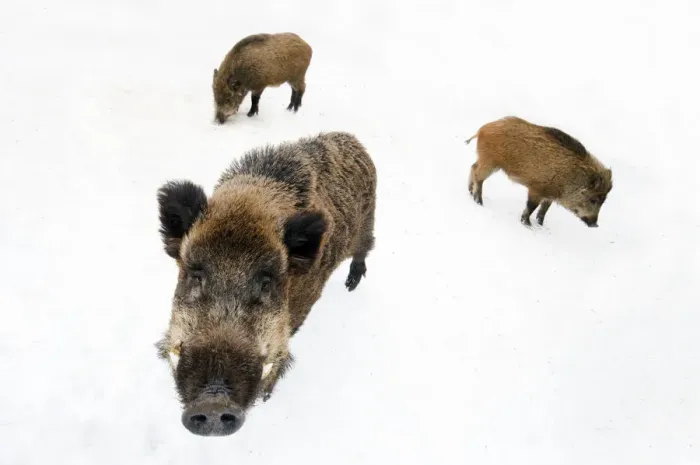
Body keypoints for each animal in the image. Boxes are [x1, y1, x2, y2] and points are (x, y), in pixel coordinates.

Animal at [155, 131, 376, 436]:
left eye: (266, 283)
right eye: (197, 276)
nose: (213, 403)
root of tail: (352, 140)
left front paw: (267, 396)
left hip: (368, 223)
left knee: (365, 249)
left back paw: (351, 284)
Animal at [465, 116, 613, 227]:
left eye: (603, 201)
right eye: (593, 199)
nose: (595, 224)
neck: (570, 179)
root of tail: (483, 128)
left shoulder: (550, 196)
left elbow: (544, 210)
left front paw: (540, 224)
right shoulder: (537, 189)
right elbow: (532, 206)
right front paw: (527, 224)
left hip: (485, 160)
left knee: (473, 167)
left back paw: (470, 192)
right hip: (490, 162)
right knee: (478, 176)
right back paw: (479, 201)